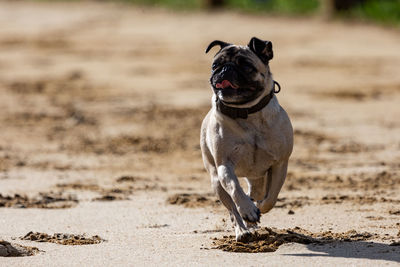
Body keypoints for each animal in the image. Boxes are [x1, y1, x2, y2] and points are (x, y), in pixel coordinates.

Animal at [202, 37, 292, 243]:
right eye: (215, 66)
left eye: (245, 65)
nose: (225, 69)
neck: (246, 112)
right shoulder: (224, 166)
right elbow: (235, 188)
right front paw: (248, 210)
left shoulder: (280, 164)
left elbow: (271, 197)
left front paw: (258, 208)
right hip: (216, 181)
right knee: (232, 208)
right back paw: (243, 230)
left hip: (257, 178)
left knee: (256, 192)